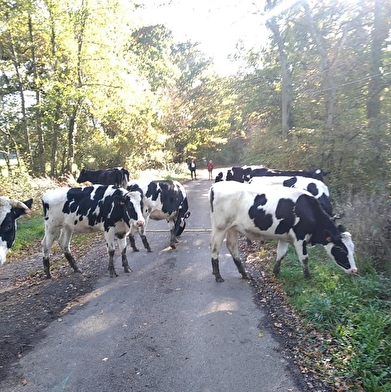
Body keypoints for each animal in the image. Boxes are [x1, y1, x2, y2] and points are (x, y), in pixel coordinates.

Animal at [210, 181, 356, 282]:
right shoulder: (300, 238)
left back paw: (244, 274)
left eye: (352, 248)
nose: (354, 270)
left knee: (232, 247)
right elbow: (304, 258)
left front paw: (276, 272)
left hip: (232, 228)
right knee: (215, 248)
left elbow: (281, 254)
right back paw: (218, 276)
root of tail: (216, 186)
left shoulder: (284, 237)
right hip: (220, 227)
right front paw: (308, 278)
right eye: (342, 250)